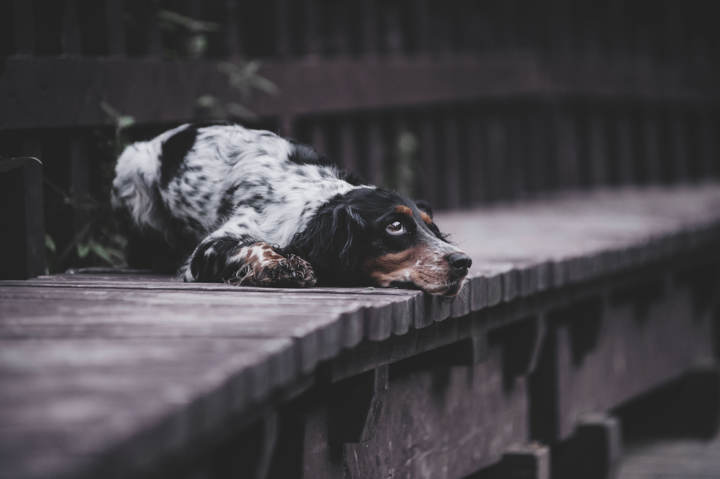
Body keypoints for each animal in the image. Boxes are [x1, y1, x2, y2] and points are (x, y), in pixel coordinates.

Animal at [112, 123, 472, 296]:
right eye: (394, 226)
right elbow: (251, 246)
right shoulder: (207, 251)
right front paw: (281, 264)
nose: (463, 262)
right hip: (131, 167)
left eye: (432, 227)